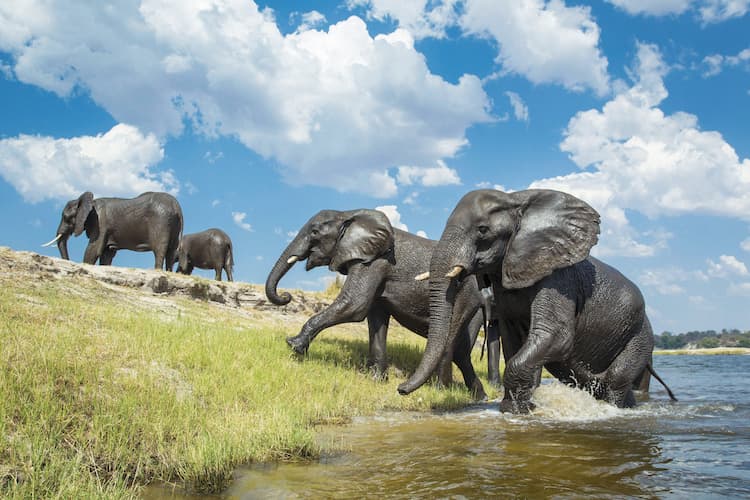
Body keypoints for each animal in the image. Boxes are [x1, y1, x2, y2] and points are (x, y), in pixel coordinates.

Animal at [42, 191, 184, 272]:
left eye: (66, 217)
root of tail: (177, 205)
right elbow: (107, 254)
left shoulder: (100, 223)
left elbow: (93, 250)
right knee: (171, 251)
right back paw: (168, 272)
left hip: (161, 222)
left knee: (160, 250)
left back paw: (157, 271)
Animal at [264, 208, 500, 398]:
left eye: (314, 232)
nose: (286, 296)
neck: (348, 214)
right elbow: (375, 318)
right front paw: (377, 380)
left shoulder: (374, 262)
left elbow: (355, 305)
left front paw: (293, 345)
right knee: (461, 349)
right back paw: (480, 397)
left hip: (464, 295)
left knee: (452, 340)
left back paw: (441, 390)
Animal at [396, 189, 680, 412]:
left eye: (483, 230)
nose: (400, 389)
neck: (515, 200)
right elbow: (514, 341)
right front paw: (519, 408)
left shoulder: (558, 280)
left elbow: (555, 336)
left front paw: (515, 410)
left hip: (640, 338)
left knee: (616, 379)